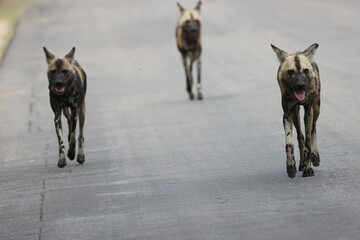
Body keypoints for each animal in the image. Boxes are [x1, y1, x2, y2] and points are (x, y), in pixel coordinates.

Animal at [270, 43, 320, 178]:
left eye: (305, 71)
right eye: (290, 72)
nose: (300, 85)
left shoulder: (308, 111)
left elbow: (308, 141)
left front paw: (309, 168)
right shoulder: (287, 114)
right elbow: (289, 143)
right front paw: (291, 166)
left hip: (316, 109)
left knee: (313, 130)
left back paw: (315, 156)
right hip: (295, 114)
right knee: (300, 136)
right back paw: (302, 163)